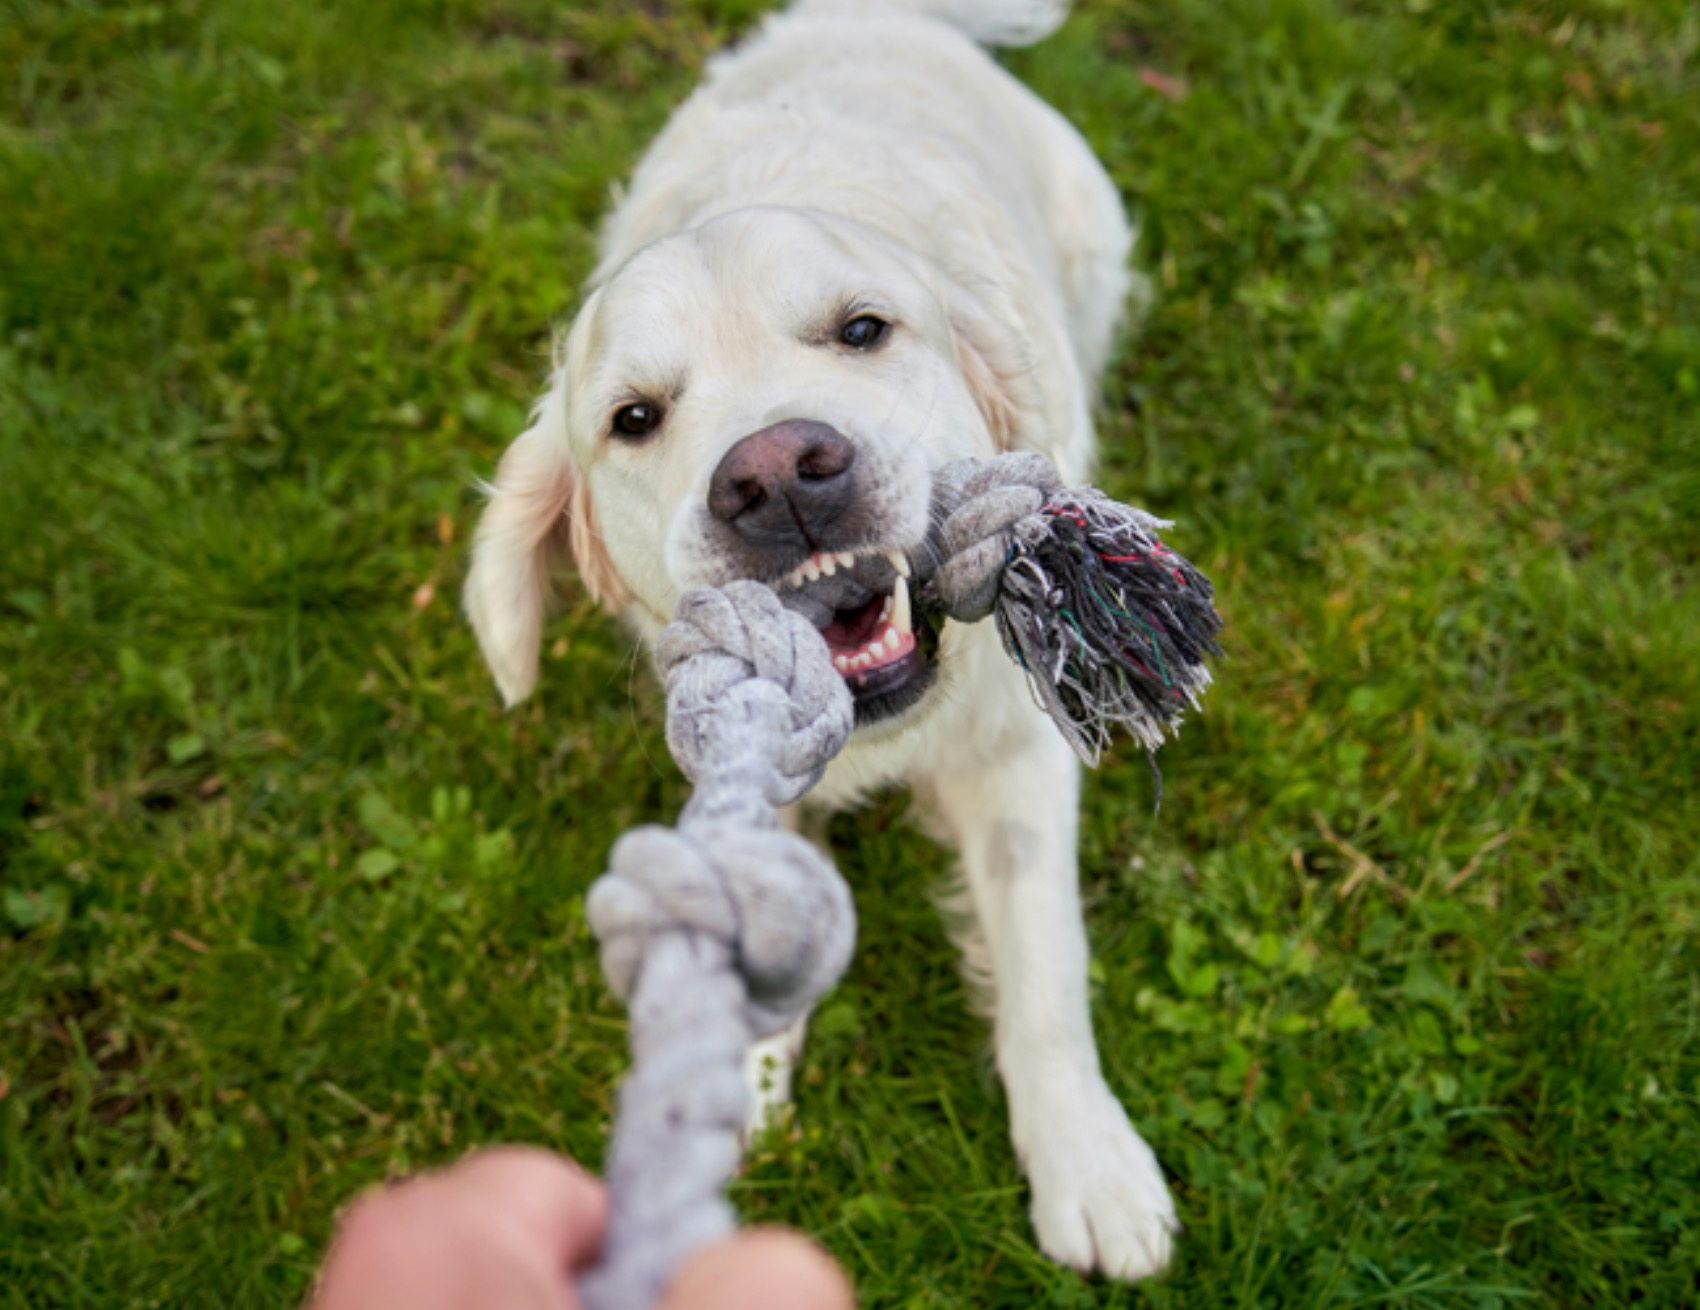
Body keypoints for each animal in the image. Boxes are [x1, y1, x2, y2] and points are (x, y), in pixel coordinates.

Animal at [465, 0, 1183, 1284]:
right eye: (633, 417)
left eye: (861, 328)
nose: (775, 475)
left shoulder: (1015, 755)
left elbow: (1045, 962)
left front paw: (1087, 1162)